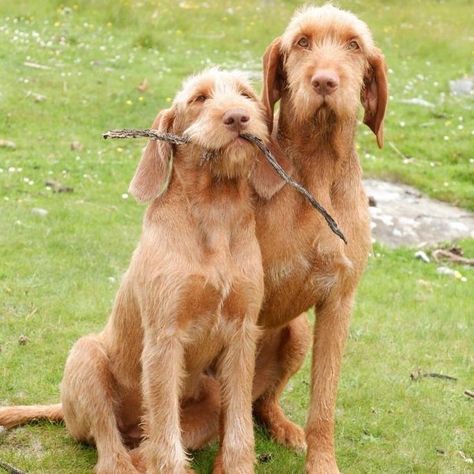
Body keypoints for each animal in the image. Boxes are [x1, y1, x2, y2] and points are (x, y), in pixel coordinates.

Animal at [0, 67, 286, 474]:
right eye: (199, 98)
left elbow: (237, 429)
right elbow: (165, 435)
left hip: (209, 396)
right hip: (86, 356)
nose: (237, 117)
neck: (214, 211)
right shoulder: (164, 339)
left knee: (145, 446)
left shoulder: (242, 334)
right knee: (110, 447)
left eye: (246, 95)